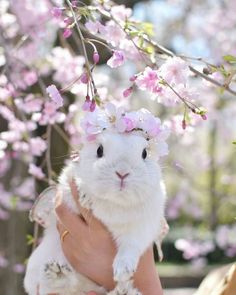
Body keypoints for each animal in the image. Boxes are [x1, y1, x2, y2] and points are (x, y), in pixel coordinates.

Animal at [24, 107, 168, 295]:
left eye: (144, 153)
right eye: (99, 150)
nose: (122, 172)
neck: (113, 202)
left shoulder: (143, 228)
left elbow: (131, 246)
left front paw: (123, 271)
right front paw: (85, 196)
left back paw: (123, 290)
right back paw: (56, 272)